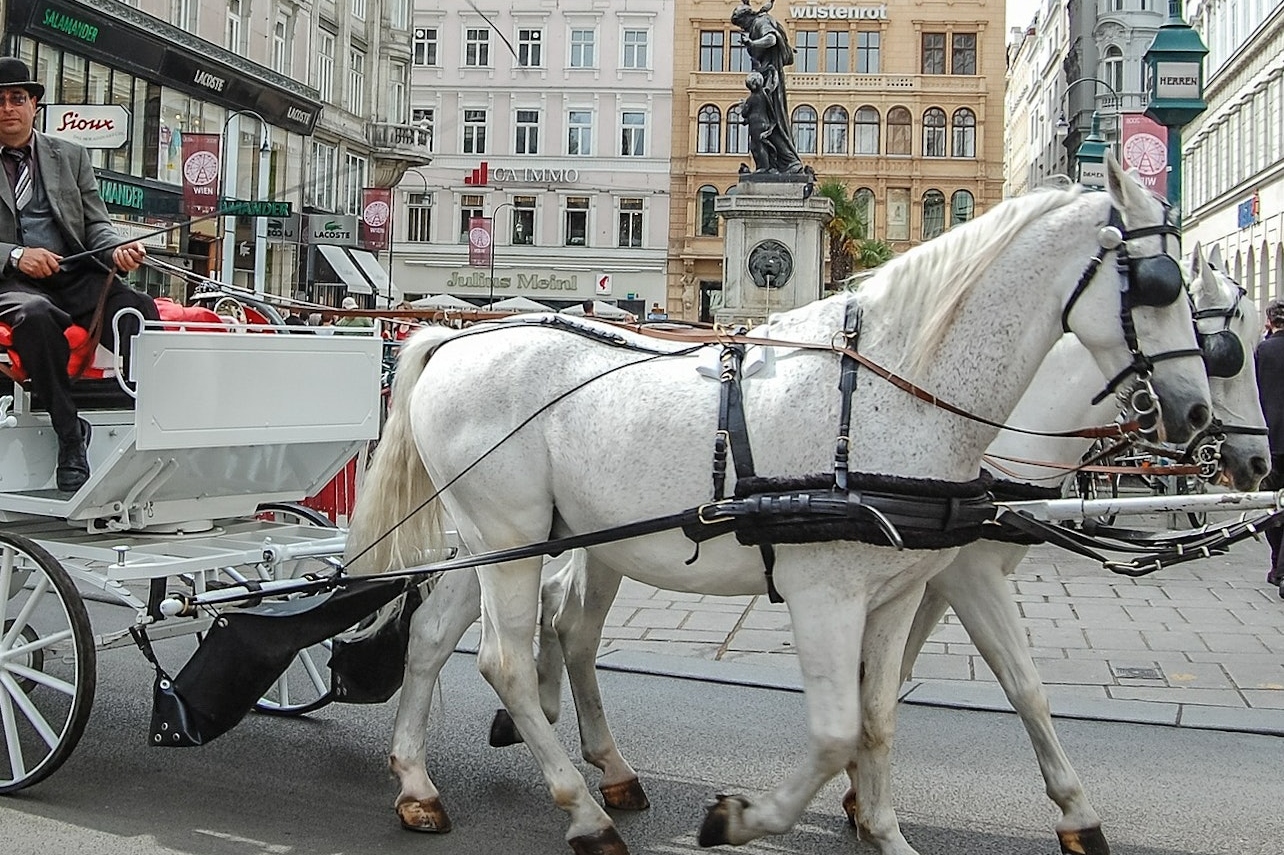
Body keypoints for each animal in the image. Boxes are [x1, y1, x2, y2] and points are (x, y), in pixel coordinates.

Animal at [349, 159, 1212, 852]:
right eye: (1161, 286)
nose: (1195, 414)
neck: (891, 390)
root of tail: (454, 338)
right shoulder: (826, 593)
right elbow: (834, 731)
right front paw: (741, 817)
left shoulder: (899, 593)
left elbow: (881, 714)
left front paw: (884, 829)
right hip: (511, 539)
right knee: (505, 662)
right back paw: (585, 813)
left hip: (497, 540)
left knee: (435, 636)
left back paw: (418, 784)